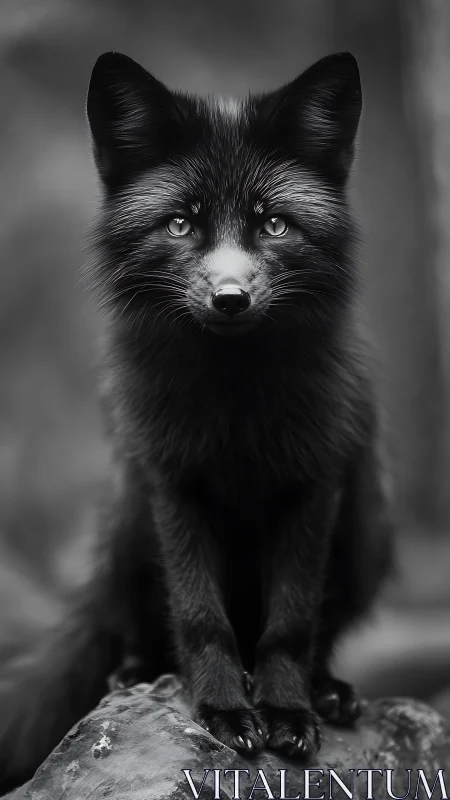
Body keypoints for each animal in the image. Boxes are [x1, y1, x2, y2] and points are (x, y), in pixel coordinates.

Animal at [0, 50, 393, 794]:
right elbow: (201, 615)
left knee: (321, 630)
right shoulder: (171, 483)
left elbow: (290, 623)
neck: (234, 408)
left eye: (273, 225)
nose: (230, 298)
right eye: (181, 224)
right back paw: (135, 672)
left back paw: (329, 690)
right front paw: (224, 713)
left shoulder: (313, 484)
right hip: (129, 524)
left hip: (365, 531)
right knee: (131, 628)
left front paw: (286, 712)